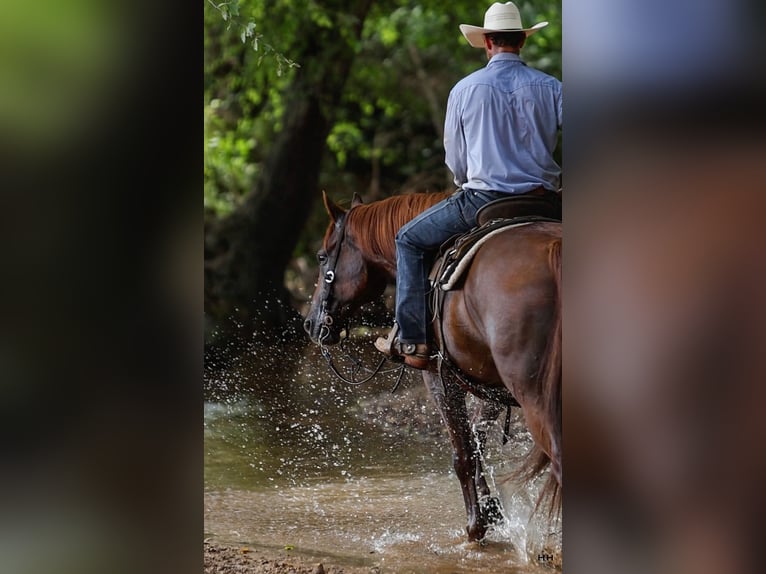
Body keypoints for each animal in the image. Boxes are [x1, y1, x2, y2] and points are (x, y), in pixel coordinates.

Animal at [306, 191, 564, 544]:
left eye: (321, 257)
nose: (310, 323)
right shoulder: (490, 384)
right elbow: (477, 441)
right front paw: (492, 511)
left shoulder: (438, 375)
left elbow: (463, 452)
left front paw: (475, 527)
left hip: (535, 397)